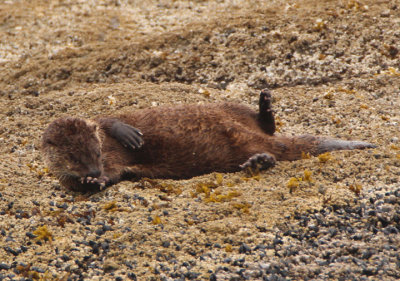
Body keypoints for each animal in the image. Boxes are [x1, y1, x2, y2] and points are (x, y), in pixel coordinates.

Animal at [41, 89, 376, 190]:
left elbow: (111, 120)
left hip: (230, 108)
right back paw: (259, 161)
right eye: (75, 158)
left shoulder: (107, 136)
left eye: (96, 152)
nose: (93, 170)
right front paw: (92, 181)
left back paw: (265, 104)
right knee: (269, 152)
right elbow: (114, 174)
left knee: (264, 126)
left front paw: (126, 134)